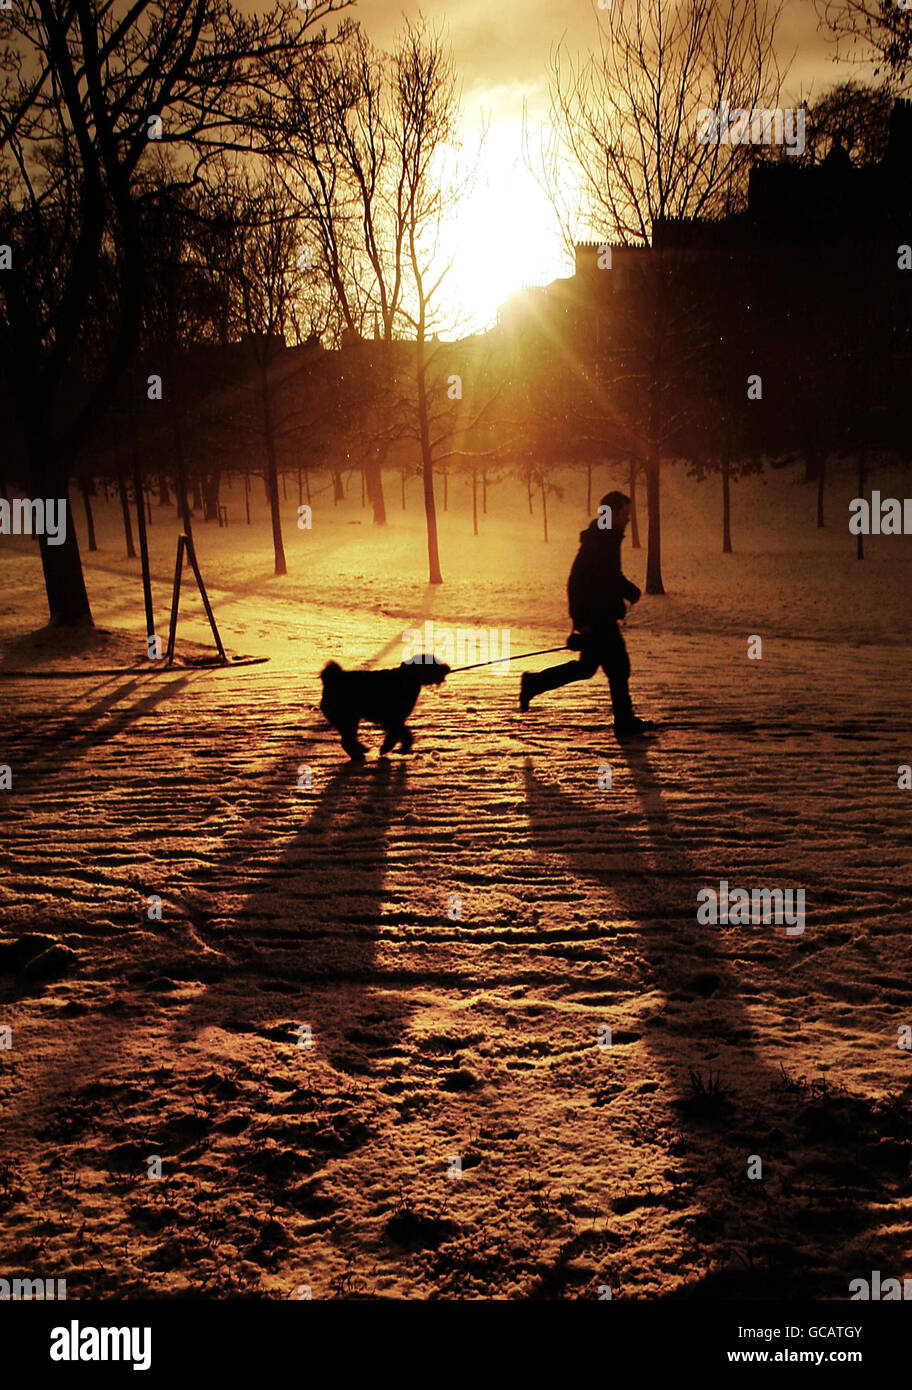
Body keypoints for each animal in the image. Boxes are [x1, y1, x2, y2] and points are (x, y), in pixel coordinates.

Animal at [318, 653, 450, 761]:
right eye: (432, 662)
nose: (447, 668)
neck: (408, 677)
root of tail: (331, 680)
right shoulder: (394, 719)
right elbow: (396, 735)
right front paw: (389, 748)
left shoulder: (395, 720)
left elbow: (403, 734)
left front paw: (402, 747)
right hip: (348, 719)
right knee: (347, 741)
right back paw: (359, 754)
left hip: (348, 721)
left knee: (348, 740)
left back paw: (360, 751)